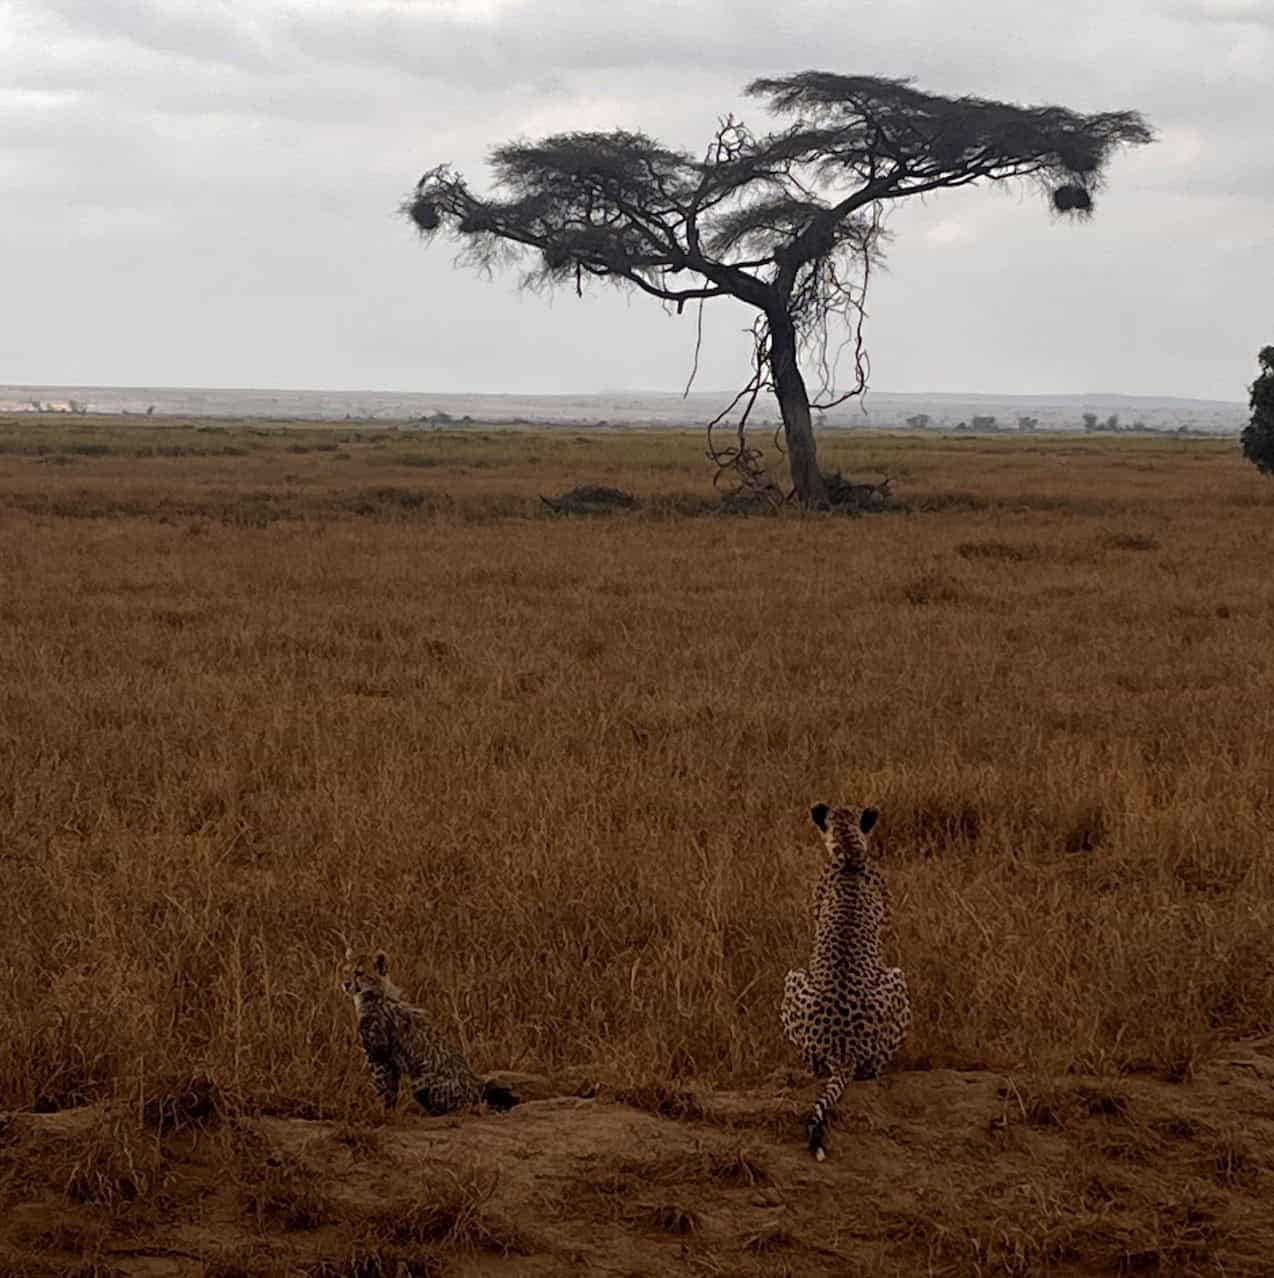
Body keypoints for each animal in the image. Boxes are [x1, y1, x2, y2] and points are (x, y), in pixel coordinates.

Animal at [341, 950, 518, 1116]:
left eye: (359, 973)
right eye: (346, 971)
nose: (345, 983)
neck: (376, 994)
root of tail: (476, 1087)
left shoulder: (379, 1058)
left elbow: (383, 1089)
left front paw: (379, 1112)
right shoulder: (391, 1061)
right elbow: (391, 1091)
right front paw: (388, 1111)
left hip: (421, 1082)